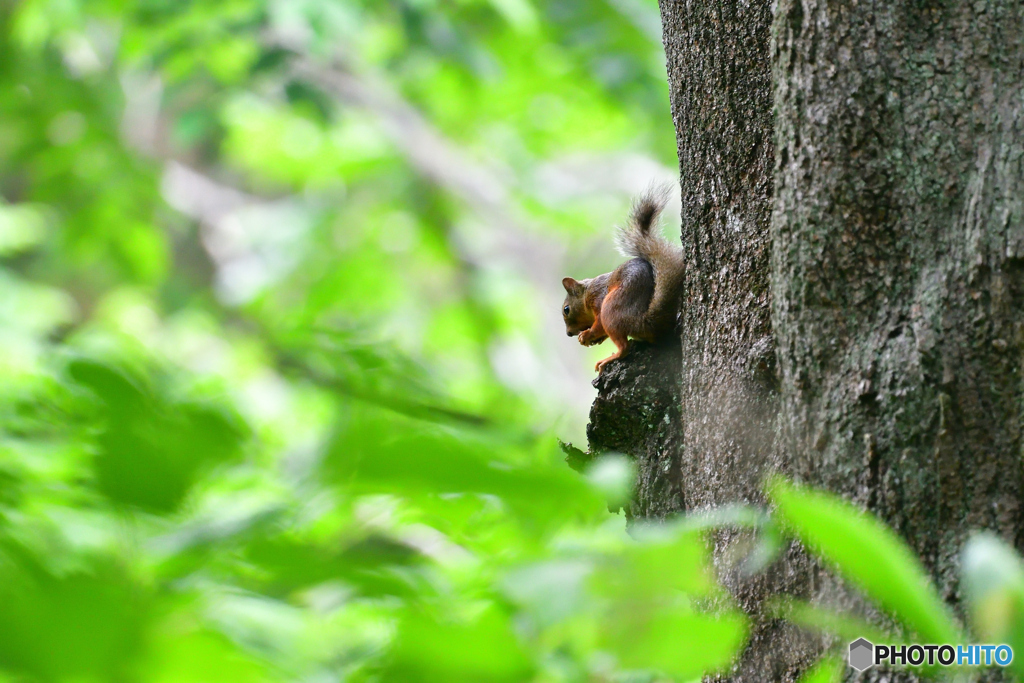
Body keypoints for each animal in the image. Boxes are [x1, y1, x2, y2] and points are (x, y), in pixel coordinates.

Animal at [561, 187, 688, 374]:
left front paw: (588, 335)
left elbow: (599, 324)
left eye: (566, 309)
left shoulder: (598, 299)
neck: (588, 291)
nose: (569, 333)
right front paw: (596, 339)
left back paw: (609, 358)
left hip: (611, 310)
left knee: (623, 347)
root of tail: (645, 323)